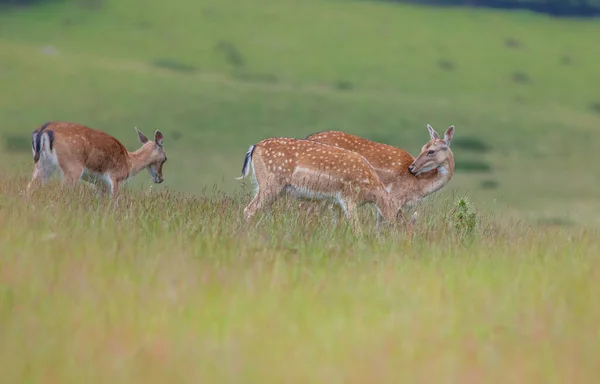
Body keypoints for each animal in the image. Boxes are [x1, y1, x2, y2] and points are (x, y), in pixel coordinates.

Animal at [25, 121, 166, 198]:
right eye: (165, 158)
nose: (160, 178)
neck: (129, 163)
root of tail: (43, 130)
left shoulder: (100, 183)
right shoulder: (115, 177)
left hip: (42, 165)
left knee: (30, 188)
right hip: (72, 167)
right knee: (61, 191)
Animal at [236, 136, 418, 236]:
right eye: (405, 233)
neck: (371, 189)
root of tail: (254, 148)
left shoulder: (335, 202)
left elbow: (337, 224)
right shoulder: (348, 197)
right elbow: (356, 227)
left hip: (272, 187)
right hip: (270, 182)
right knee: (249, 209)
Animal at [304, 125, 454, 218]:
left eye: (431, 151)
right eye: (423, 148)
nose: (412, 167)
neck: (420, 186)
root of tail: (308, 138)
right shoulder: (394, 197)